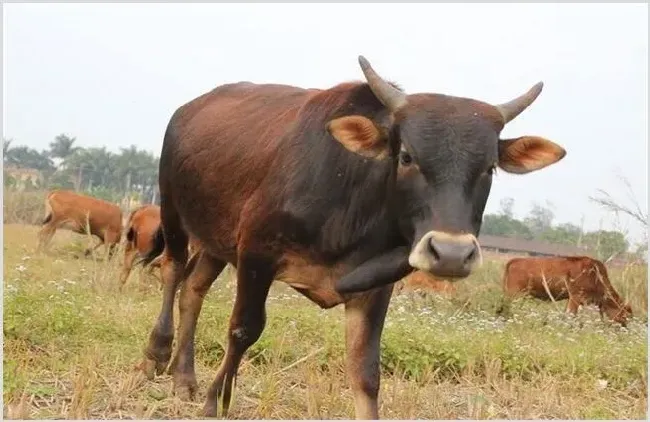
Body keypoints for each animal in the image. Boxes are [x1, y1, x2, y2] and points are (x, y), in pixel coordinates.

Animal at [139, 53, 564, 418]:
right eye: (406, 156)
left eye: (489, 168)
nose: (451, 253)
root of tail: (190, 107)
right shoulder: (257, 253)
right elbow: (243, 329)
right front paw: (215, 400)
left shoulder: (375, 285)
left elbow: (365, 370)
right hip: (173, 209)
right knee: (173, 269)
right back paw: (157, 355)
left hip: (217, 239)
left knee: (194, 288)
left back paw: (184, 378)